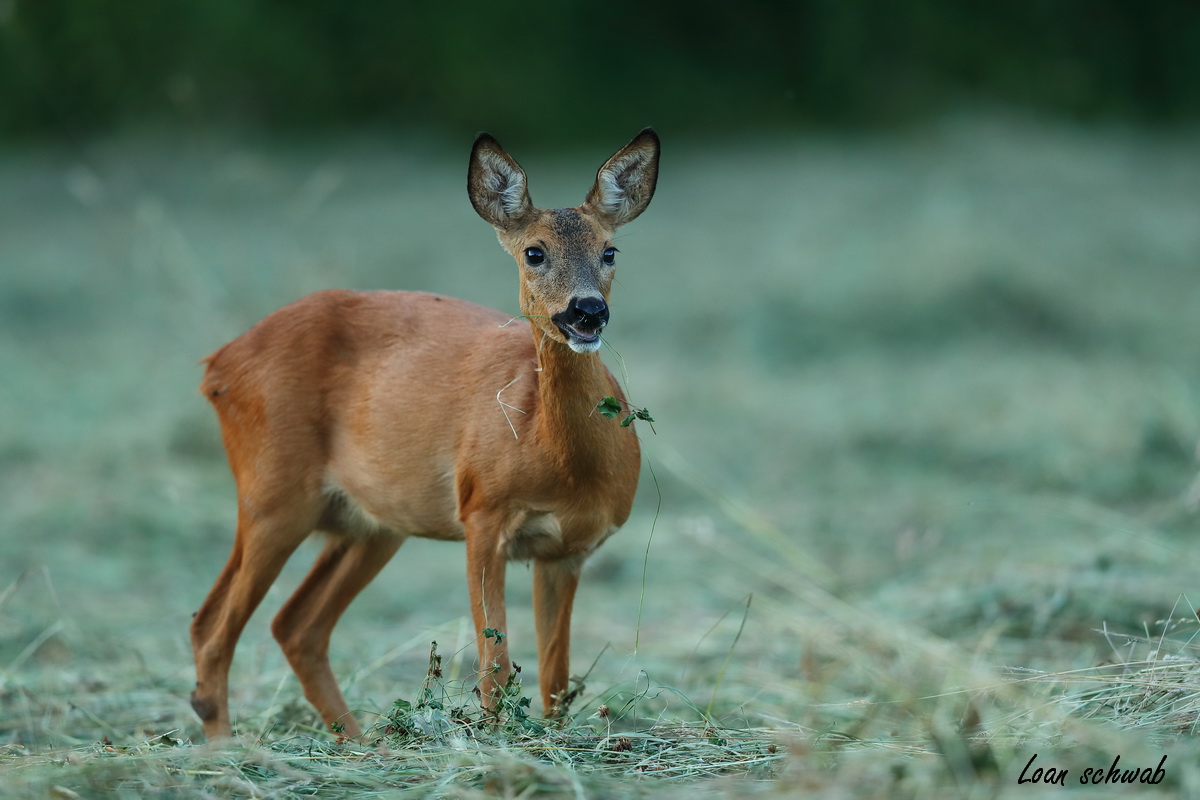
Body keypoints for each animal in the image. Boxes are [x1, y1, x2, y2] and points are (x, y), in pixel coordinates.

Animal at [189, 130, 657, 738]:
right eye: (534, 252)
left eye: (610, 250)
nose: (587, 312)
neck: (558, 459)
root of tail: (217, 366)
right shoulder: (482, 512)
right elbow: (494, 665)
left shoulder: (567, 551)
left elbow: (555, 679)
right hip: (272, 493)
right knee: (213, 624)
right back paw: (229, 748)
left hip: (370, 524)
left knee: (295, 624)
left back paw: (365, 745)